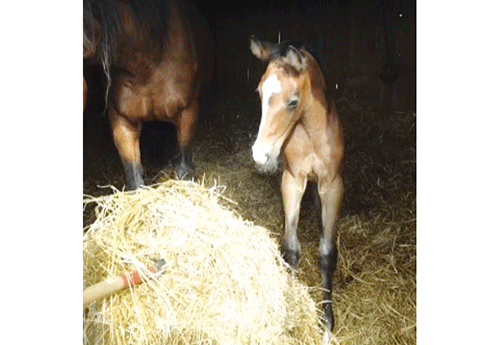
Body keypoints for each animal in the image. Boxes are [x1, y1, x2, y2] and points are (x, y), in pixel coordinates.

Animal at [250, 37, 344, 334]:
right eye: (259, 93)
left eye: (293, 101)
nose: (260, 155)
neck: (312, 134)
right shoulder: (292, 181)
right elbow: (290, 248)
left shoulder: (332, 185)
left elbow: (327, 252)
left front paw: (327, 323)